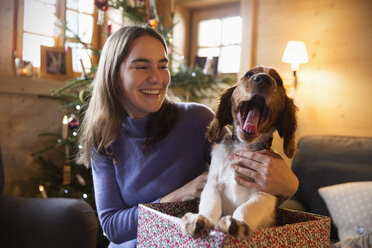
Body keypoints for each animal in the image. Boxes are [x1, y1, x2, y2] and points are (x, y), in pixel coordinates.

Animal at [182, 65, 298, 238]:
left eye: (278, 81)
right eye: (249, 74)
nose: (263, 79)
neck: (243, 146)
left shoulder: (265, 194)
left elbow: (247, 208)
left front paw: (237, 224)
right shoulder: (213, 185)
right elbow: (211, 204)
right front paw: (201, 219)